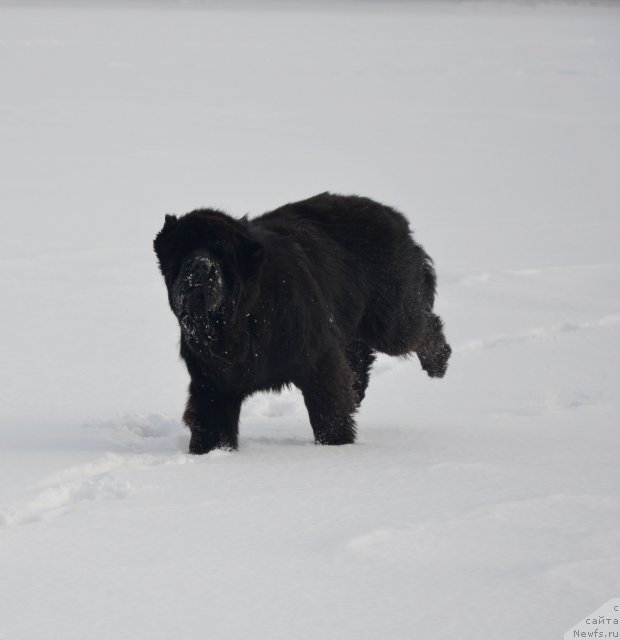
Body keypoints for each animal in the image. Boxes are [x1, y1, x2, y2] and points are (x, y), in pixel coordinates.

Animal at [153, 192, 448, 452]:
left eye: (221, 252)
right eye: (183, 251)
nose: (200, 266)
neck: (243, 321)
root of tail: (392, 214)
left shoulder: (318, 359)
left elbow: (329, 409)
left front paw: (336, 447)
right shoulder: (212, 382)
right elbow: (211, 423)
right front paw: (210, 454)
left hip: (390, 321)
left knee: (422, 328)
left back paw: (438, 363)